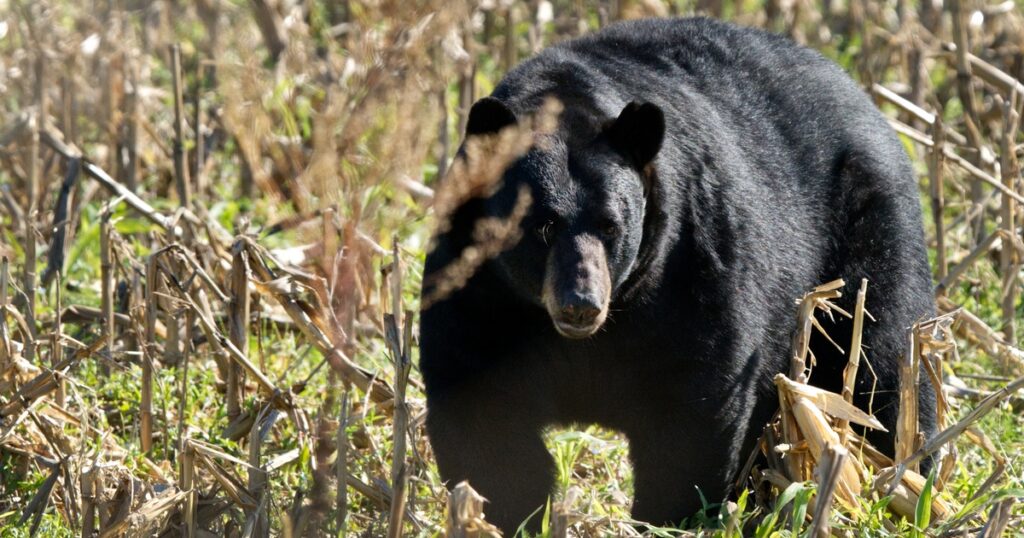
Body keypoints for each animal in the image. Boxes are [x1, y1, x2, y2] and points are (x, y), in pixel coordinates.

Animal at [419, 16, 936, 534]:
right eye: (542, 226)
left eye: (611, 224)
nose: (580, 304)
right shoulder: (477, 289)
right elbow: (484, 415)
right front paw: (515, 517)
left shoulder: (692, 267)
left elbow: (693, 409)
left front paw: (667, 518)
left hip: (871, 235)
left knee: (883, 363)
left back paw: (908, 480)